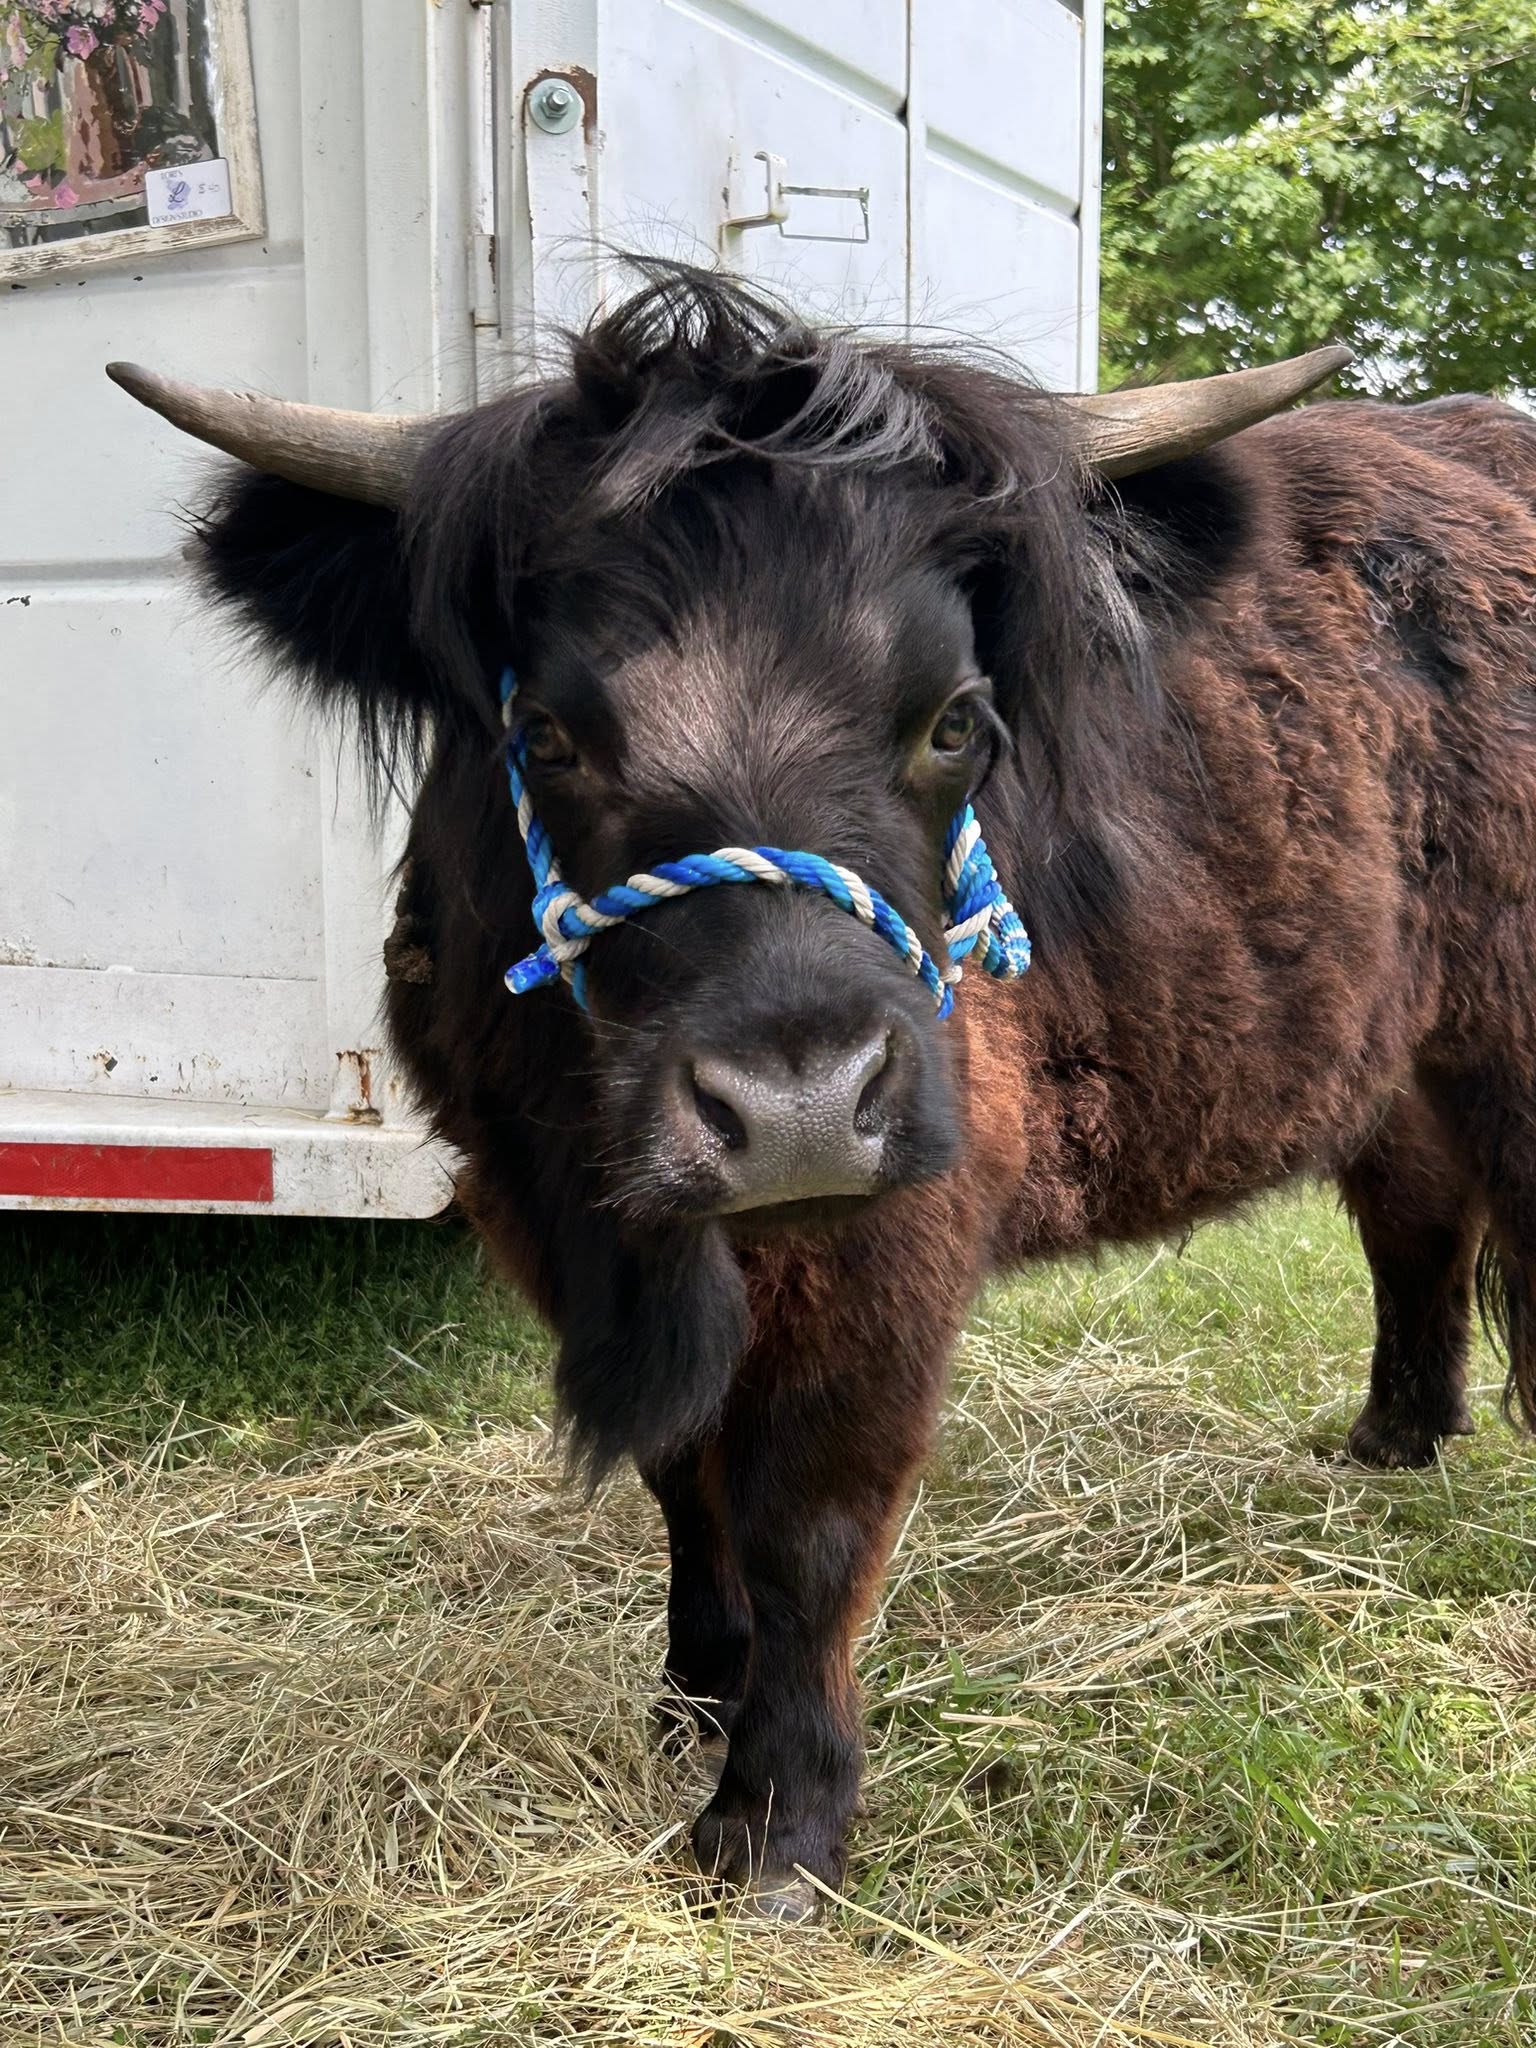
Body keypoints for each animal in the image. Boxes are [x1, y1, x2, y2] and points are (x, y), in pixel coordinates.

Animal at [109, 265, 1536, 1919]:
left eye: (956, 717)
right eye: (546, 733)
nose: (794, 1104)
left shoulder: (892, 1240)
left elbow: (813, 1515)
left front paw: (776, 1829)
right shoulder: (538, 1211)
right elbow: (686, 1470)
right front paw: (695, 1687)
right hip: (1399, 1054)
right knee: (1413, 1216)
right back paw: (1395, 1439)